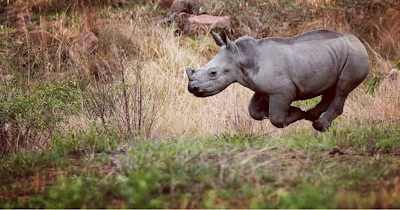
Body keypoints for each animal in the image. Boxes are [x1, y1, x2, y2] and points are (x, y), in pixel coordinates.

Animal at [186, 29, 370, 131]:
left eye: (213, 73)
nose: (192, 88)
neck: (241, 56)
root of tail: (359, 42)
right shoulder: (263, 88)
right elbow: (253, 110)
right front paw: (296, 111)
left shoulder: (282, 90)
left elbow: (276, 118)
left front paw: (295, 112)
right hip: (335, 55)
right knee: (331, 89)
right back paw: (311, 116)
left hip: (355, 55)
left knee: (342, 89)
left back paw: (319, 126)